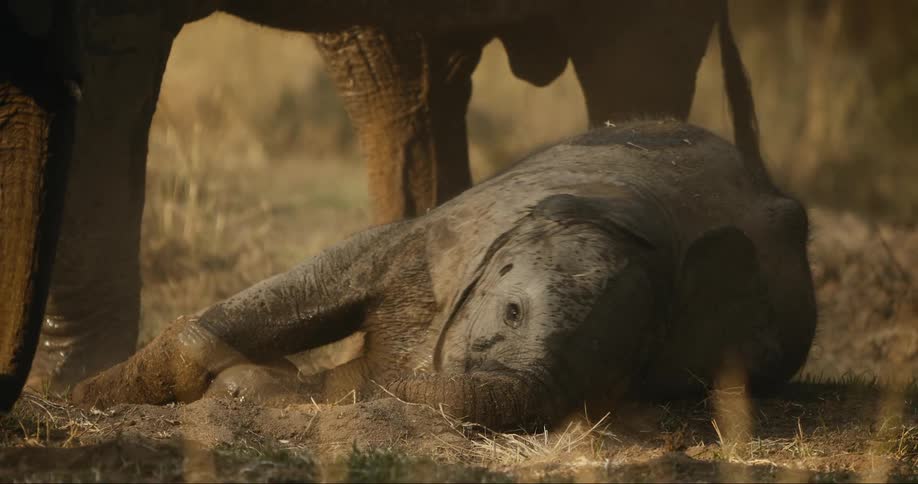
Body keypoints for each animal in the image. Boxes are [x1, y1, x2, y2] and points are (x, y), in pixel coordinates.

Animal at [71, 117, 816, 430]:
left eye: (622, 380)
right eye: (512, 313)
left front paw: (259, 388)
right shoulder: (447, 233)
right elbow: (339, 274)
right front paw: (84, 398)